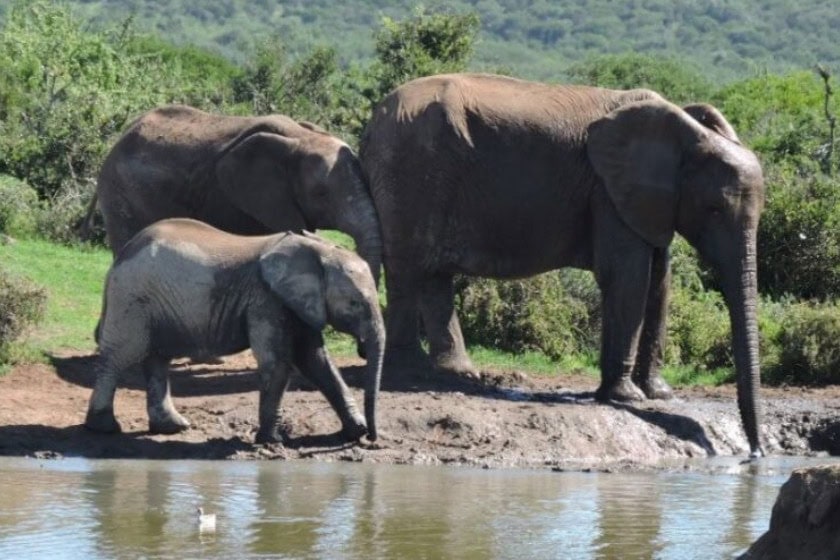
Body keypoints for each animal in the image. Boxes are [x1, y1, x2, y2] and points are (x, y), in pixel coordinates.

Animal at [85, 219, 384, 442]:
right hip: (131, 298)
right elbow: (278, 362)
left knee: (157, 359)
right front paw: (271, 441)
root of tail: (122, 255)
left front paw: (355, 432)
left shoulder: (296, 302)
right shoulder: (265, 299)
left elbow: (317, 362)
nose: (373, 439)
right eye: (355, 303)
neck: (316, 250)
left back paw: (173, 427)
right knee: (119, 356)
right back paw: (104, 428)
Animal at [360, 72, 768, 458]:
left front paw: (659, 395)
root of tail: (373, 121)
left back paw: (457, 373)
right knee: (408, 268)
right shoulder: (608, 192)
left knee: (434, 274)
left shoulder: (647, 201)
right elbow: (628, 278)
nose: (756, 453)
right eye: (713, 209)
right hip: (411, 170)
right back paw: (409, 369)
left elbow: (659, 284)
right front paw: (626, 397)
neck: (685, 133)